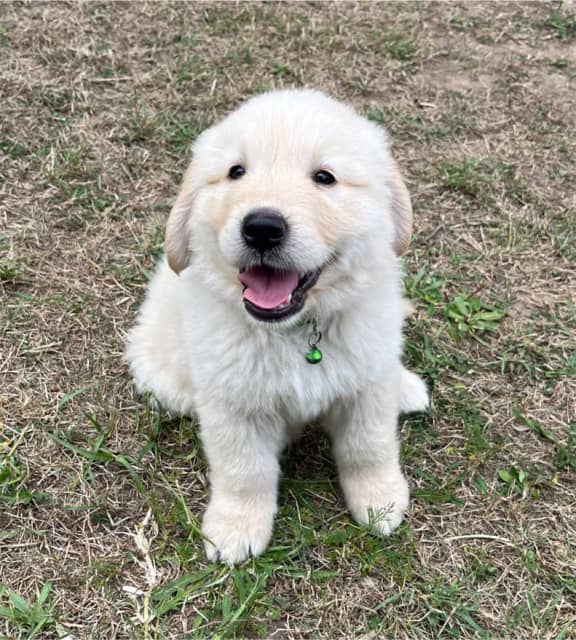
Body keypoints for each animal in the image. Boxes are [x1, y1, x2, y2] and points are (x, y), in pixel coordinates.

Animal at [125, 90, 428, 564]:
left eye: (324, 177)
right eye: (236, 171)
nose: (262, 228)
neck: (298, 332)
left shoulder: (367, 384)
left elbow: (369, 445)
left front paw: (379, 500)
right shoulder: (231, 402)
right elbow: (243, 468)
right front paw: (236, 527)